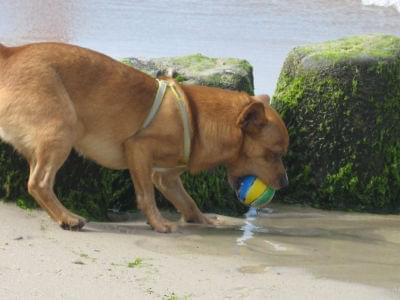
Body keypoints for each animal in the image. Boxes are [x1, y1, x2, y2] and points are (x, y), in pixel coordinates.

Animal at [0, 42, 288, 233]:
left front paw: (204, 220)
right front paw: (159, 223)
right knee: (38, 183)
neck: (195, 118)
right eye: (273, 154)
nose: (285, 183)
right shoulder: (138, 151)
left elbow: (188, 201)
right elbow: (146, 195)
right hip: (62, 133)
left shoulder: (167, 177)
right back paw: (67, 217)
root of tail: (12, 53)